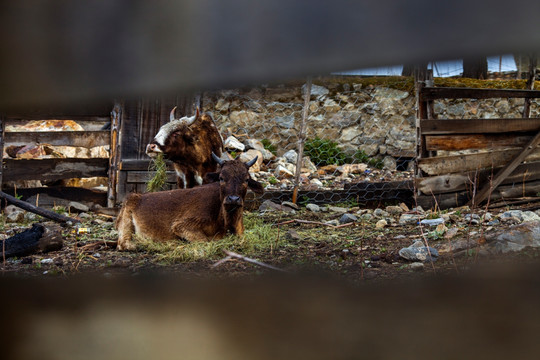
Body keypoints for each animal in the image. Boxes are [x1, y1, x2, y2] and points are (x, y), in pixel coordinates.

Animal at [116, 155, 264, 250]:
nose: (233, 199)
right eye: (221, 178)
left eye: (246, 179)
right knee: (124, 243)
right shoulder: (181, 225)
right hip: (127, 219)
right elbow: (206, 241)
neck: (227, 220)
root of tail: (137, 196)